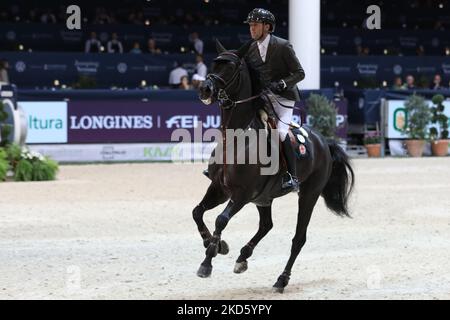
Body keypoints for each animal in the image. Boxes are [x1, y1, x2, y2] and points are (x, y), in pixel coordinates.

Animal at [193, 40, 356, 292]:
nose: (205, 90)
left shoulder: (241, 195)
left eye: (230, 67)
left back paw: (281, 280)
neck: (237, 139)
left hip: (308, 194)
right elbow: (197, 212)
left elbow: (221, 219)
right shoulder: (219, 189)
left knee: (298, 239)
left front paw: (208, 261)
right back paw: (242, 257)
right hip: (264, 197)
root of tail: (323, 141)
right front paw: (215, 244)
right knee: (266, 225)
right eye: (214, 64)